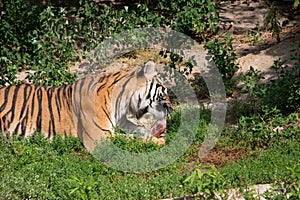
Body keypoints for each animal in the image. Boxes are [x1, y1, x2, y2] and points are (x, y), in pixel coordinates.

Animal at [0, 61, 173, 152]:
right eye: (163, 92)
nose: (172, 109)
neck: (122, 102)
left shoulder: (120, 121)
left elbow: (139, 130)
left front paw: (158, 133)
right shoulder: (100, 137)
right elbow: (131, 139)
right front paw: (160, 141)